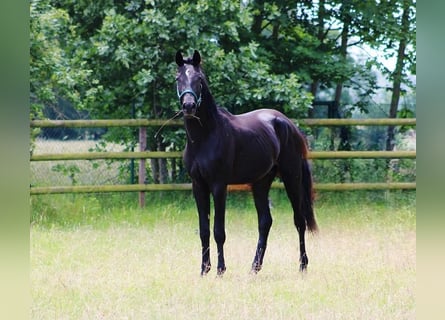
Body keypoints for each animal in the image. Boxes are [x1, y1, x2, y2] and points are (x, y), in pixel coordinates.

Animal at [175, 49, 318, 276]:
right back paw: (254, 268)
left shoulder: (219, 186)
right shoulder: (198, 185)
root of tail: (287, 124)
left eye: (199, 79)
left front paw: (220, 270)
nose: (188, 106)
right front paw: (204, 270)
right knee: (265, 222)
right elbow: (204, 230)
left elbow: (218, 231)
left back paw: (302, 266)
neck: (206, 137)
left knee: (299, 221)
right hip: (260, 182)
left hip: (291, 177)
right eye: (178, 78)